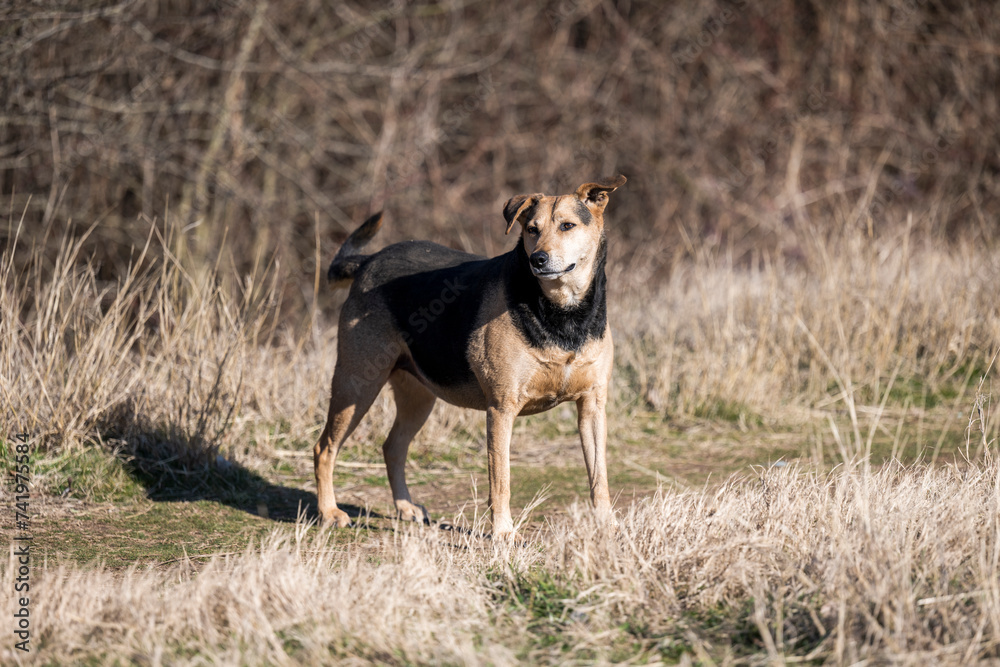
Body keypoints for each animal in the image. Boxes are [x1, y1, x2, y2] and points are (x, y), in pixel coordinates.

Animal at [312, 174, 624, 536]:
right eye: (532, 229)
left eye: (567, 225)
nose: (538, 259)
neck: (564, 312)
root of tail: (368, 261)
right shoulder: (501, 408)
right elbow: (500, 480)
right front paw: (503, 533)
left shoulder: (592, 405)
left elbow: (599, 476)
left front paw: (607, 525)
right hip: (356, 385)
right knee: (324, 448)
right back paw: (329, 512)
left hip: (417, 395)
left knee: (392, 447)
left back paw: (405, 507)